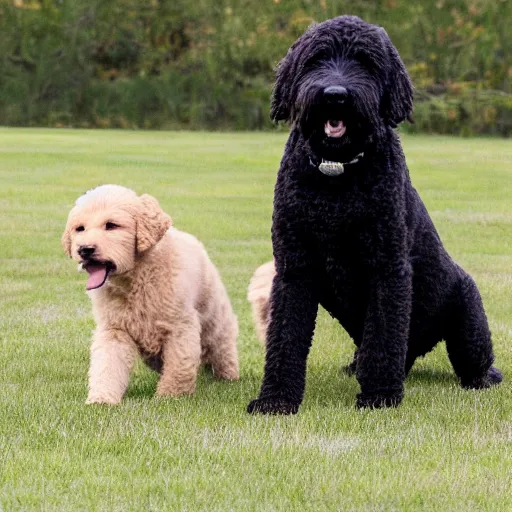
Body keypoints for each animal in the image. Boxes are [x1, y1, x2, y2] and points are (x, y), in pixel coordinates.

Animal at [248, 16, 500, 414]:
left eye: (365, 62)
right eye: (317, 59)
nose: (335, 94)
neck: (336, 180)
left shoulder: (387, 267)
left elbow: (383, 338)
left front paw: (380, 394)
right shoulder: (295, 268)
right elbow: (285, 339)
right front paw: (276, 399)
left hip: (468, 325)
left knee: (467, 362)